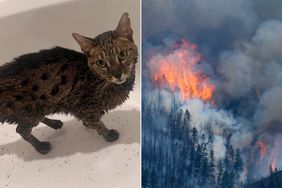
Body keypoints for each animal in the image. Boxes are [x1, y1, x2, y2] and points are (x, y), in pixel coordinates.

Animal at [0, 12, 138, 154]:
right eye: (101, 63)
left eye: (122, 54)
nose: (117, 74)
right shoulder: (87, 108)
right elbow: (98, 124)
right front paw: (108, 134)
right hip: (30, 112)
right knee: (21, 130)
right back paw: (40, 146)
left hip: (39, 109)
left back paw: (54, 123)